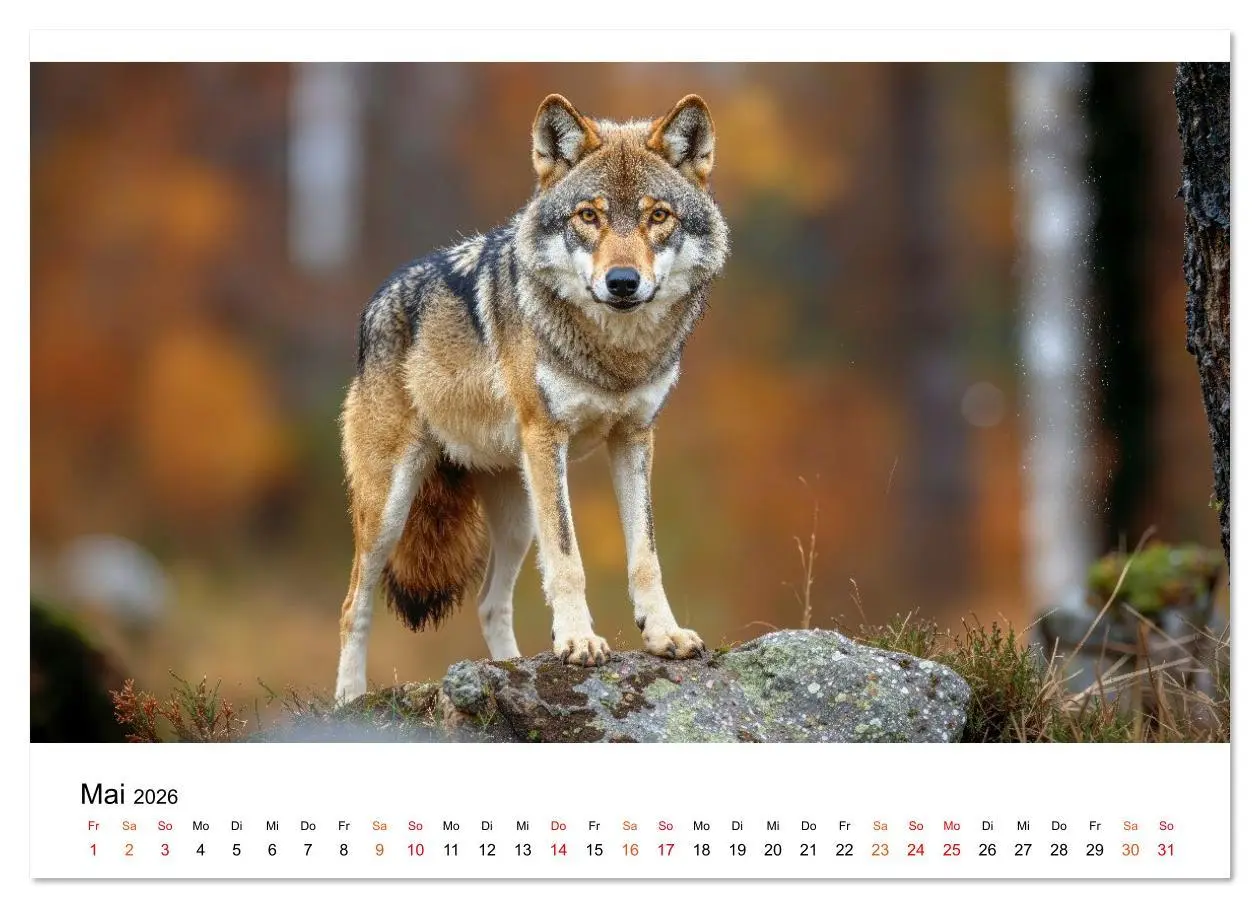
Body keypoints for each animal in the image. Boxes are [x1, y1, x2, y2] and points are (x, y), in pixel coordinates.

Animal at [334, 93, 729, 703]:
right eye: (588, 216)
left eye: (657, 216)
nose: (622, 282)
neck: (614, 358)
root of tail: (374, 304)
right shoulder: (548, 437)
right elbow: (569, 560)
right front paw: (579, 643)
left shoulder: (634, 437)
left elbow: (645, 556)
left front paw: (663, 634)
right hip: (391, 510)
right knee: (354, 604)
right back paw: (348, 700)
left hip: (519, 514)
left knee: (488, 603)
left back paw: (512, 670)